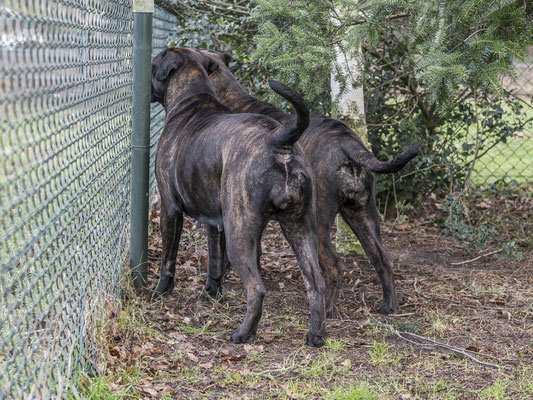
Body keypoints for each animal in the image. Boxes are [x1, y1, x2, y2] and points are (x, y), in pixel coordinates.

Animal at [148, 47, 326, 346]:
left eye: (152, 65)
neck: (192, 99)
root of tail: (279, 139)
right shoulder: (214, 221)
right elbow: (214, 261)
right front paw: (211, 292)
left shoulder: (170, 209)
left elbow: (168, 258)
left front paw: (161, 292)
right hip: (300, 227)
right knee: (315, 282)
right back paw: (316, 335)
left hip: (240, 234)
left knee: (256, 288)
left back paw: (244, 333)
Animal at [193, 49, 422, 318]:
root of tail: (346, 140)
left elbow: (220, 256)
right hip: (362, 215)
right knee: (382, 259)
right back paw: (389, 305)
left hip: (320, 219)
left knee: (334, 266)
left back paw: (328, 309)